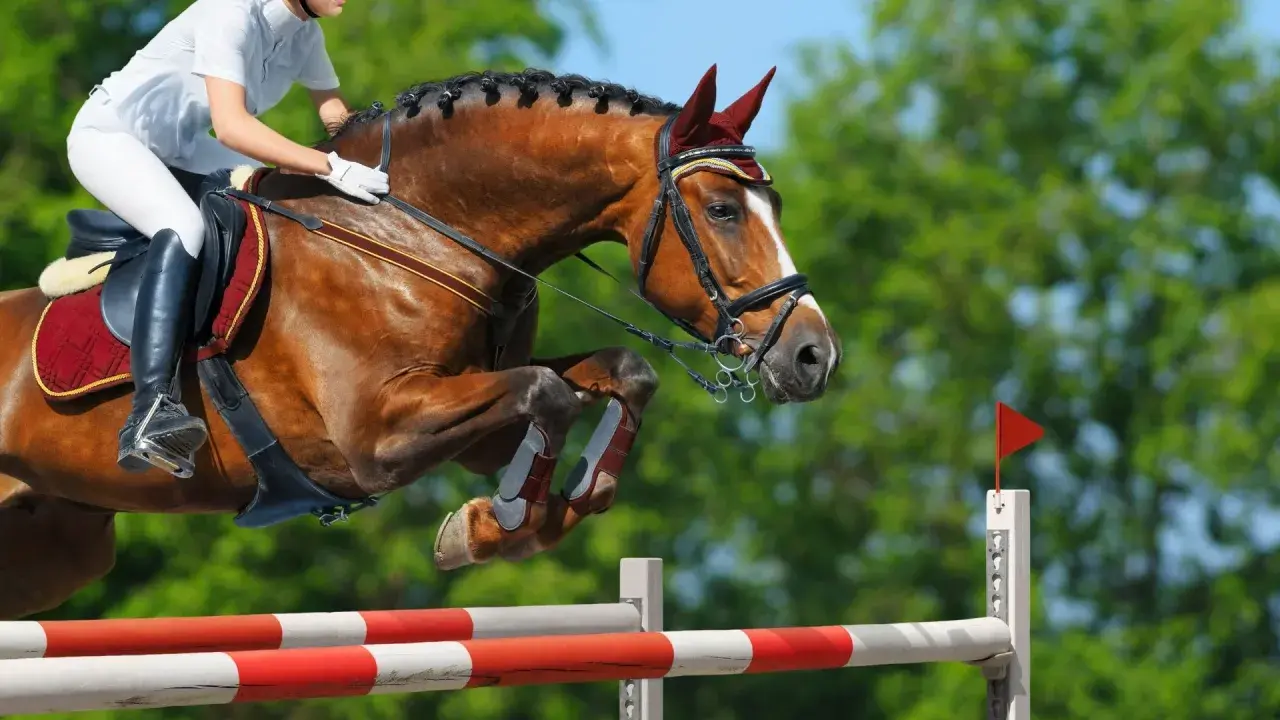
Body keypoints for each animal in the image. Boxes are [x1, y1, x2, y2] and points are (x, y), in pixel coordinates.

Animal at [0, 64, 840, 619]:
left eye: (773, 204)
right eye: (723, 209)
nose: (815, 356)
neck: (413, 235)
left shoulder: (468, 416)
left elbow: (615, 375)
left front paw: (519, 517)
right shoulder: (375, 438)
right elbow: (549, 393)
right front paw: (497, 525)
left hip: (54, 547)